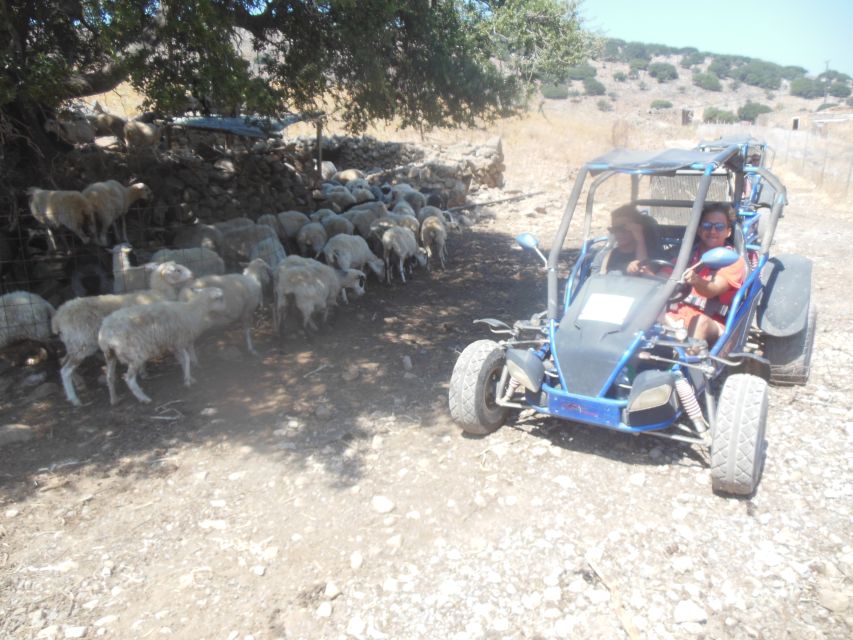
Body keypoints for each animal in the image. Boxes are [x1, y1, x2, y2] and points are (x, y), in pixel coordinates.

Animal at [53, 260, 195, 404]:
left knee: (62, 362)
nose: (192, 275)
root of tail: (58, 316)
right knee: (65, 371)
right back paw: (74, 398)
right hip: (83, 344)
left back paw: (80, 383)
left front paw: (143, 372)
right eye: (177, 270)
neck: (159, 292)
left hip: (73, 344)